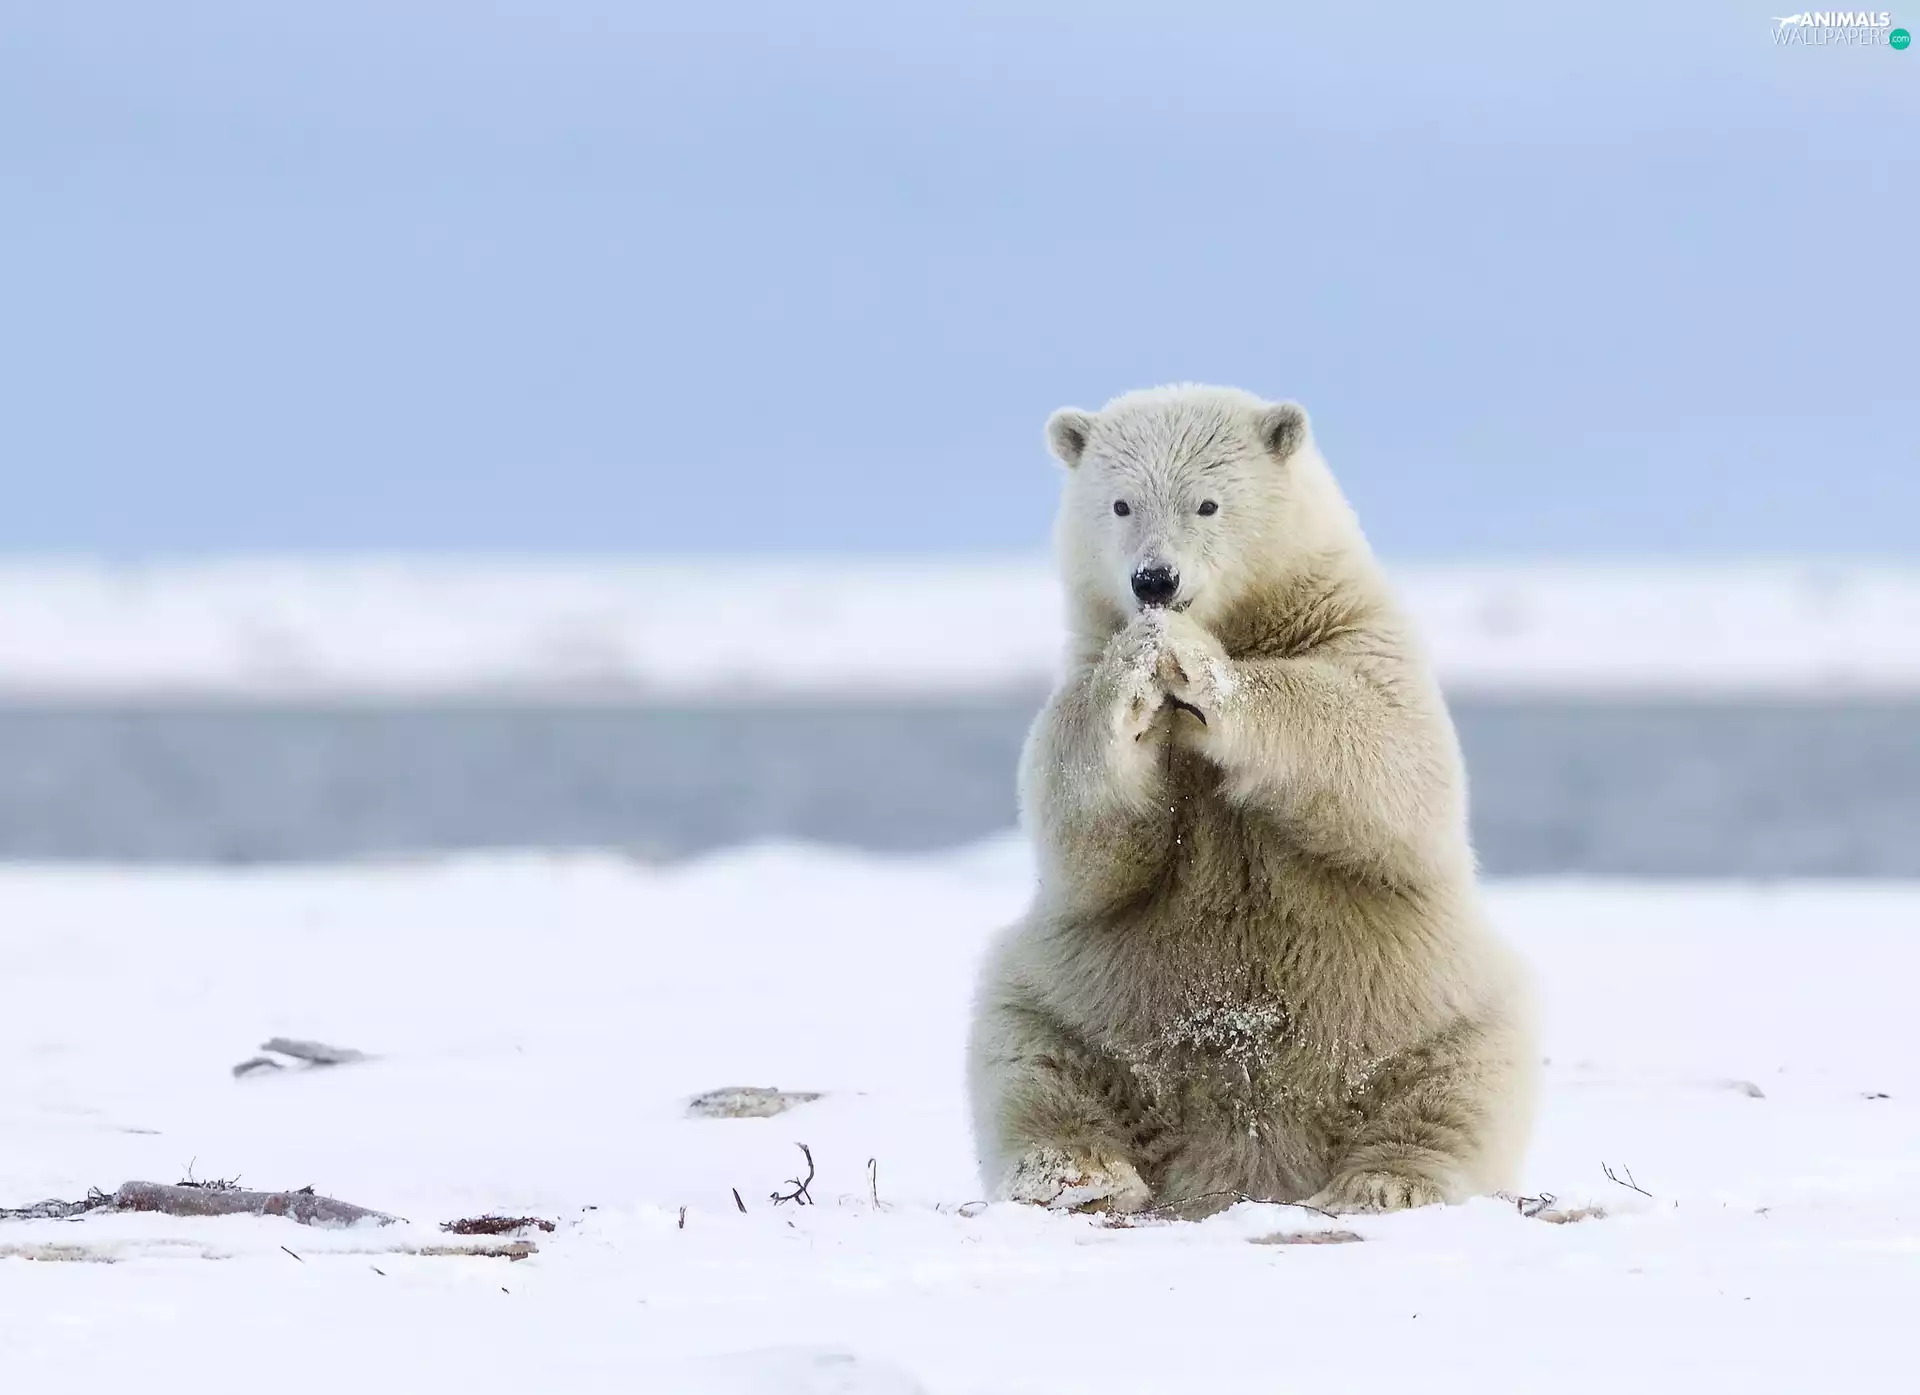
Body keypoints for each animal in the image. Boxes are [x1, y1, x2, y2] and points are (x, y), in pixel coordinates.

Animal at [966, 384, 1535, 1215]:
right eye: (1120, 502)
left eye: (1207, 502)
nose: (1154, 581)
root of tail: (1244, 1163)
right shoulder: (1078, 668)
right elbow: (1081, 826)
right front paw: (1139, 668)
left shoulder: (1356, 635)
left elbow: (1386, 749)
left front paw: (1198, 664)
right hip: (1078, 998)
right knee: (1031, 1058)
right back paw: (1078, 1173)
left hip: (1430, 1002)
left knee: (1457, 1083)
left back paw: (1384, 1179)